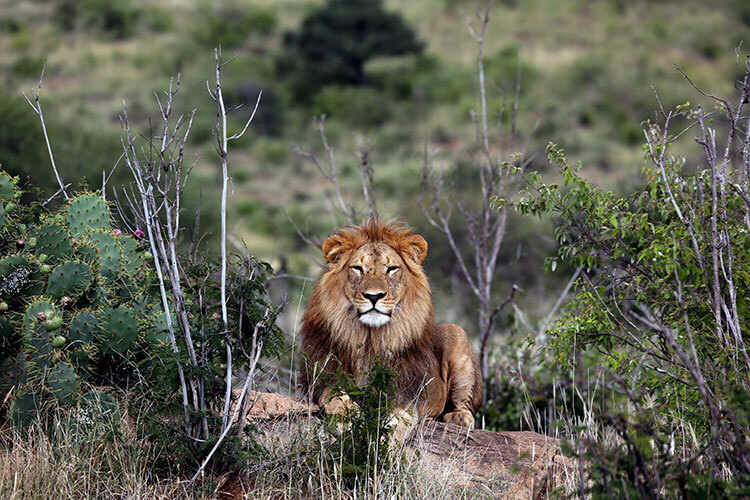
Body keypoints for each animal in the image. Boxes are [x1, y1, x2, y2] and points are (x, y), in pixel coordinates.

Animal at [299, 219, 482, 435]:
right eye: (358, 268)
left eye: (391, 269)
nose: (374, 296)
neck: (370, 339)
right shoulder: (321, 379)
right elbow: (334, 395)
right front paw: (347, 420)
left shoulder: (408, 393)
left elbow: (401, 419)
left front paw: (387, 441)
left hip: (456, 333)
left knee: (464, 404)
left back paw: (459, 418)